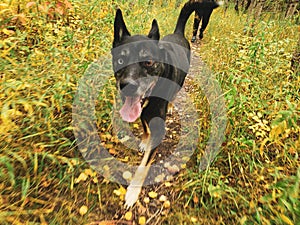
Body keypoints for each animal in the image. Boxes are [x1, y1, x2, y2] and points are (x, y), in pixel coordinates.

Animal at [111, 0, 221, 208]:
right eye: (120, 59)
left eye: (148, 62)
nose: (127, 86)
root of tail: (178, 33)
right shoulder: (144, 112)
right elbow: (145, 127)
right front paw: (144, 141)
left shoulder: (159, 126)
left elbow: (143, 165)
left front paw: (132, 193)